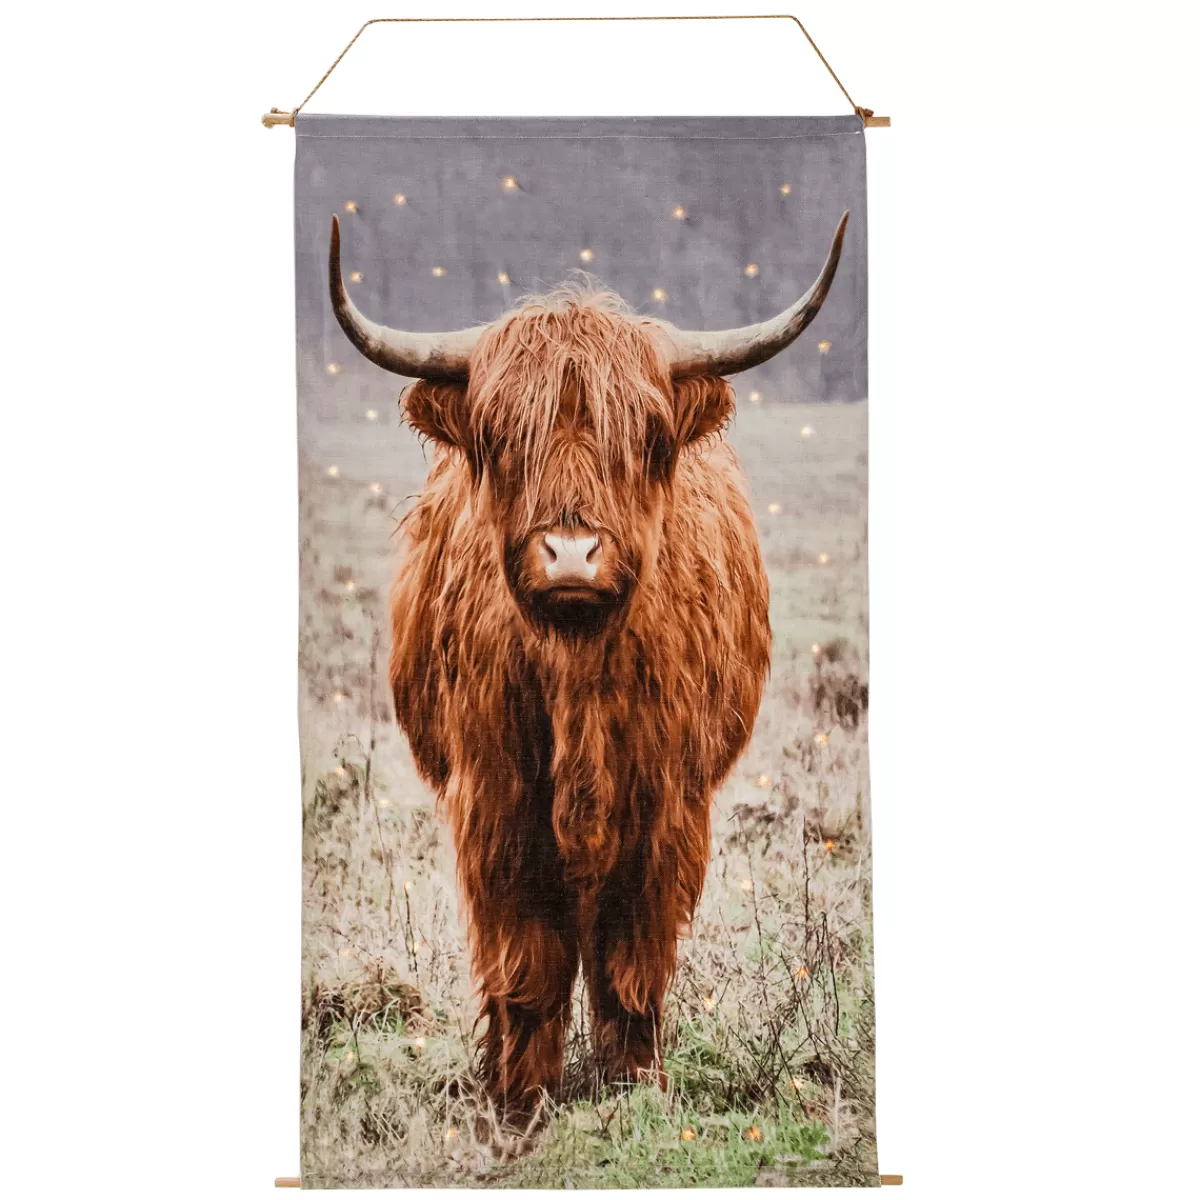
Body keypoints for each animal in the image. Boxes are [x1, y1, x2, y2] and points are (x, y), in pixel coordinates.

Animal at [328, 212, 848, 1119]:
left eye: (645, 435)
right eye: (502, 435)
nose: (571, 554)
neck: (579, 677)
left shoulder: (669, 806)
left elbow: (631, 959)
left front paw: (633, 1087)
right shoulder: (494, 802)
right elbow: (528, 962)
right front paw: (520, 1098)